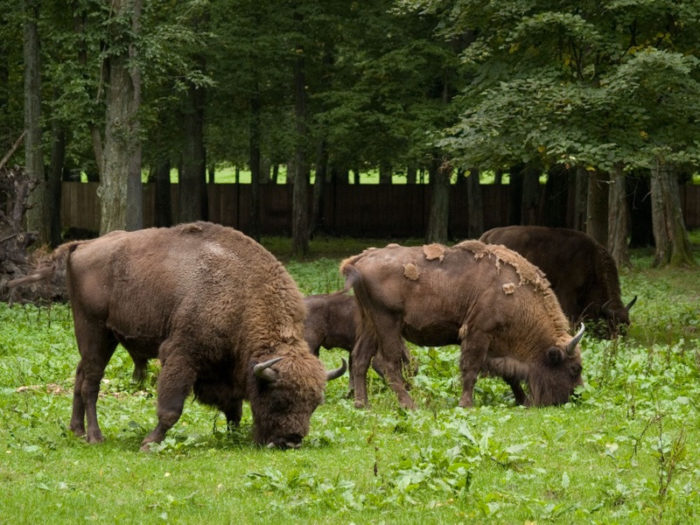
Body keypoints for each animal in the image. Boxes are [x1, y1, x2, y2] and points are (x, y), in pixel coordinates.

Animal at [10, 222, 348, 450]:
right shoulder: (181, 355)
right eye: (279, 399)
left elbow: (234, 409)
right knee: (91, 382)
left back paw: (76, 431)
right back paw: (95, 436)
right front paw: (149, 443)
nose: (291, 441)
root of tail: (81, 245)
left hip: (99, 338)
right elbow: (171, 408)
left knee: (80, 376)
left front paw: (234, 434)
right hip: (95, 330)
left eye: (314, 404)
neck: (244, 295)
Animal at [340, 241, 584, 410]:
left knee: (361, 359)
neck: (517, 295)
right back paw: (409, 405)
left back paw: (362, 404)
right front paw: (466, 404)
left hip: (370, 323)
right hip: (387, 322)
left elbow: (509, 375)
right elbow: (471, 369)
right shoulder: (479, 333)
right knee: (388, 363)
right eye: (574, 369)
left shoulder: (495, 346)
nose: (576, 396)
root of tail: (360, 259)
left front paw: (522, 400)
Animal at [482, 224, 636, 338]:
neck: (591, 260)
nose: (619, 344)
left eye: (627, 325)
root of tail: (487, 236)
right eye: (610, 326)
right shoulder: (568, 293)